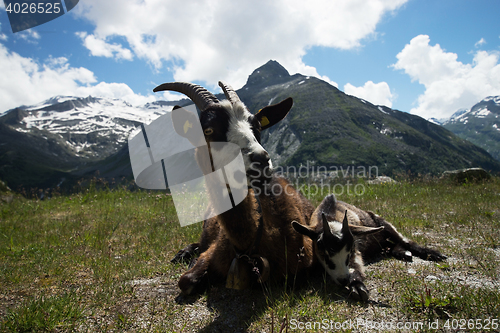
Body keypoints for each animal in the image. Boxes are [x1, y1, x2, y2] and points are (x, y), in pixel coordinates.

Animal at [154, 80, 314, 294]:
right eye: (209, 130)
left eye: (257, 128)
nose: (261, 160)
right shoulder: (212, 252)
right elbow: (186, 280)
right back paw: (183, 253)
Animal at [292, 193, 448, 300]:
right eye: (322, 249)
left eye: (349, 253)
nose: (344, 279)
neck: (329, 215)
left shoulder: (355, 246)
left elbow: (356, 264)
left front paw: (357, 286)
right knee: (391, 246)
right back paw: (403, 253)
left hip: (383, 223)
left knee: (404, 240)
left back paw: (432, 253)